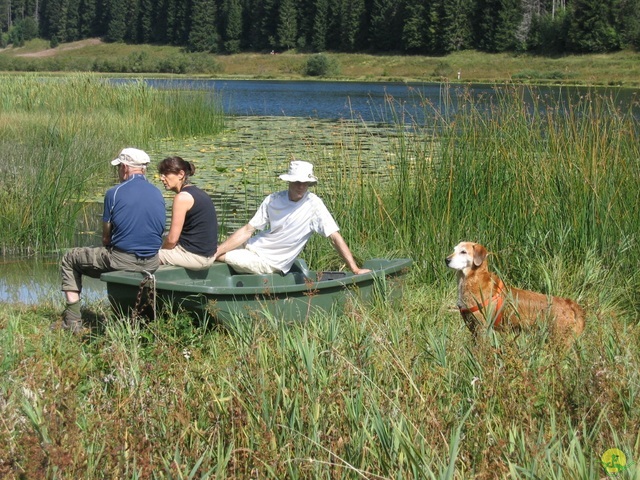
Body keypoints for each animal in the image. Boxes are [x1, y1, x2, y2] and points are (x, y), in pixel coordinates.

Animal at [444, 244, 584, 342]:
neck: (473, 279)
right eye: (454, 249)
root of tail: (569, 304)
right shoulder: (472, 327)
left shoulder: (481, 327)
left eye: (463, 251)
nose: (446, 260)